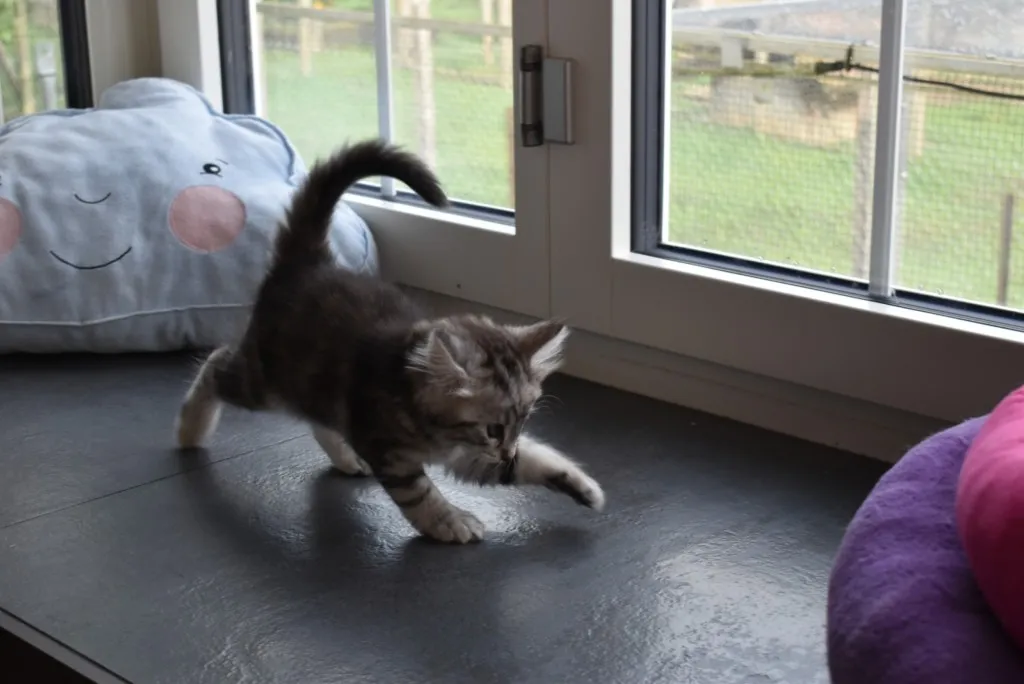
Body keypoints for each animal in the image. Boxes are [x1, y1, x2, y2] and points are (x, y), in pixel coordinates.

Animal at [174, 139, 605, 544]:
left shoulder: (467, 454)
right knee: (216, 362)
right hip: (265, 381)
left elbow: (535, 458)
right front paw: (449, 521)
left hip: (311, 384)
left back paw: (345, 456)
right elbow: (420, 493)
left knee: (319, 415)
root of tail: (308, 264)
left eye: (523, 421)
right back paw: (190, 430)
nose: (506, 450)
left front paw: (580, 484)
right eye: (493, 429)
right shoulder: (392, 451)